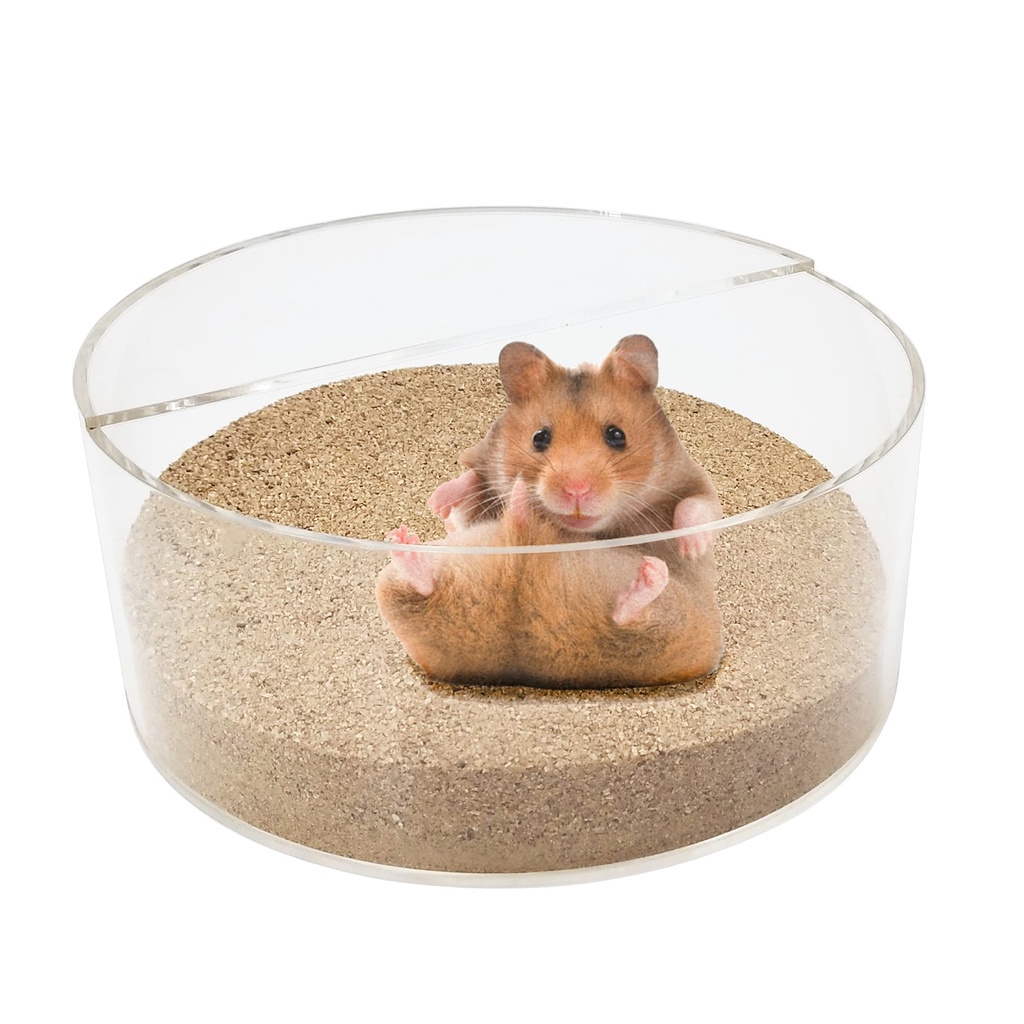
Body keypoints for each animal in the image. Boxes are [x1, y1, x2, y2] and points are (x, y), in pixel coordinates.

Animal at [428, 334, 722, 561]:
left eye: (617, 435)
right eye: (539, 438)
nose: (576, 491)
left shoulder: (692, 479)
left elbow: (696, 505)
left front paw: (691, 549)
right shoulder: (489, 460)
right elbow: (472, 479)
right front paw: (436, 504)